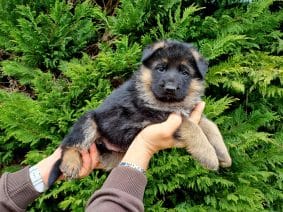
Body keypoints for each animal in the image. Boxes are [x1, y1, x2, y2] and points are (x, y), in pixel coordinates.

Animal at [47, 40, 233, 186]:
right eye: (161, 68)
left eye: (184, 72)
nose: (170, 88)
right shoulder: (154, 116)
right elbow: (192, 128)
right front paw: (209, 155)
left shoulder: (189, 112)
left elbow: (210, 125)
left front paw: (223, 154)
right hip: (89, 120)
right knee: (69, 145)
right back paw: (71, 163)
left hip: (116, 154)